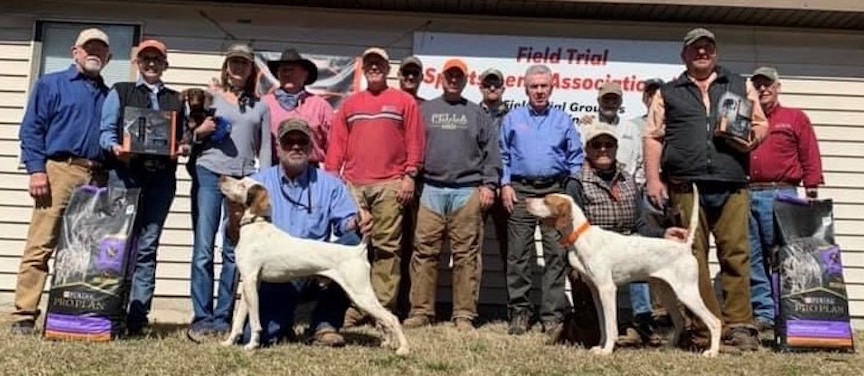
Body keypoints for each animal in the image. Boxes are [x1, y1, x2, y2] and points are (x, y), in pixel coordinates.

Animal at [218, 176, 410, 356]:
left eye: (242, 185)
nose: (222, 177)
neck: (255, 227)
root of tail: (358, 250)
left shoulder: (250, 280)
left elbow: (255, 322)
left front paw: (252, 345)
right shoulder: (249, 284)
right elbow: (238, 321)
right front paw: (228, 343)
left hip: (360, 294)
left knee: (392, 318)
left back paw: (403, 348)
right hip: (360, 296)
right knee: (383, 320)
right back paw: (387, 343)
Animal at [528, 187, 724, 356]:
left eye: (546, 200)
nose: (526, 200)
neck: (582, 236)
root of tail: (684, 246)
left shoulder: (607, 289)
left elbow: (611, 325)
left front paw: (607, 350)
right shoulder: (596, 291)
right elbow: (603, 324)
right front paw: (600, 347)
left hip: (687, 292)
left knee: (714, 321)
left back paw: (712, 352)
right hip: (665, 291)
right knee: (679, 320)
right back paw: (669, 347)